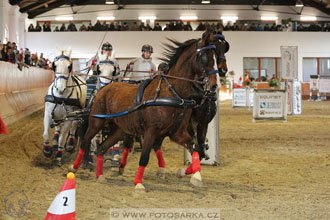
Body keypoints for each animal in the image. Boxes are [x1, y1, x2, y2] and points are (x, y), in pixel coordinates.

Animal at [69, 30, 219, 192]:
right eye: (204, 57)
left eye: (215, 57)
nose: (214, 86)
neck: (171, 92)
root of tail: (104, 88)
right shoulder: (150, 131)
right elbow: (145, 157)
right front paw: (138, 183)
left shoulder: (177, 133)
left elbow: (195, 148)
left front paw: (192, 175)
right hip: (97, 122)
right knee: (85, 141)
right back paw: (75, 167)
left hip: (119, 130)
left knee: (101, 148)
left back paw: (100, 175)